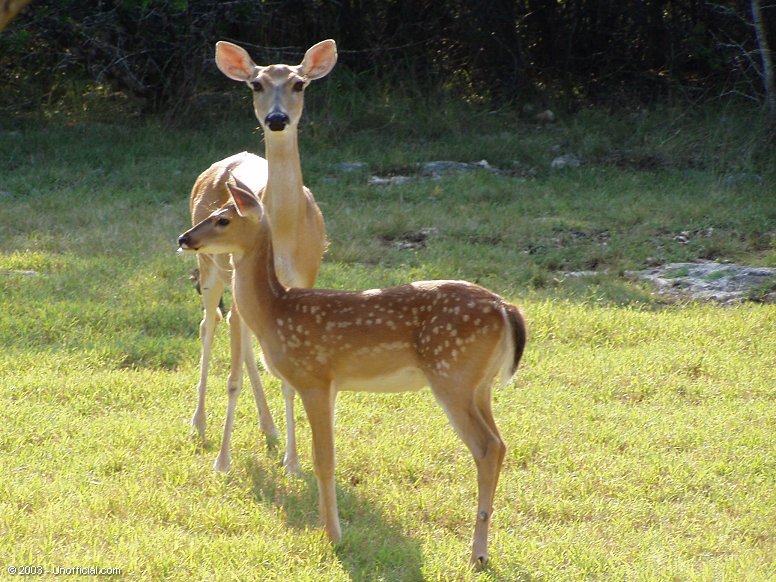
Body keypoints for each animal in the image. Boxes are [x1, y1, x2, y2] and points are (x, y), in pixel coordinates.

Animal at [177, 177, 528, 564]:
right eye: (212, 212)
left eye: (223, 219)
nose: (184, 238)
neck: (275, 312)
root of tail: (506, 308)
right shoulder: (331, 385)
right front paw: (323, 526)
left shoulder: (314, 377)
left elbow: (324, 459)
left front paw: (332, 535)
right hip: (479, 384)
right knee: (500, 443)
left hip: (452, 374)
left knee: (486, 447)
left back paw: (477, 553)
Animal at [189, 40, 334, 474]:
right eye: (256, 83)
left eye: (300, 83)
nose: (276, 118)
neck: (283, 233)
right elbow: (232, 377)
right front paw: (222, 462)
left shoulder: (302, 281)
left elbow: (287, 379)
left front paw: (293, 461)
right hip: (209, 268)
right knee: (209, 325)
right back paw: (198, 423)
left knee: (243, 340)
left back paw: (269, 429)